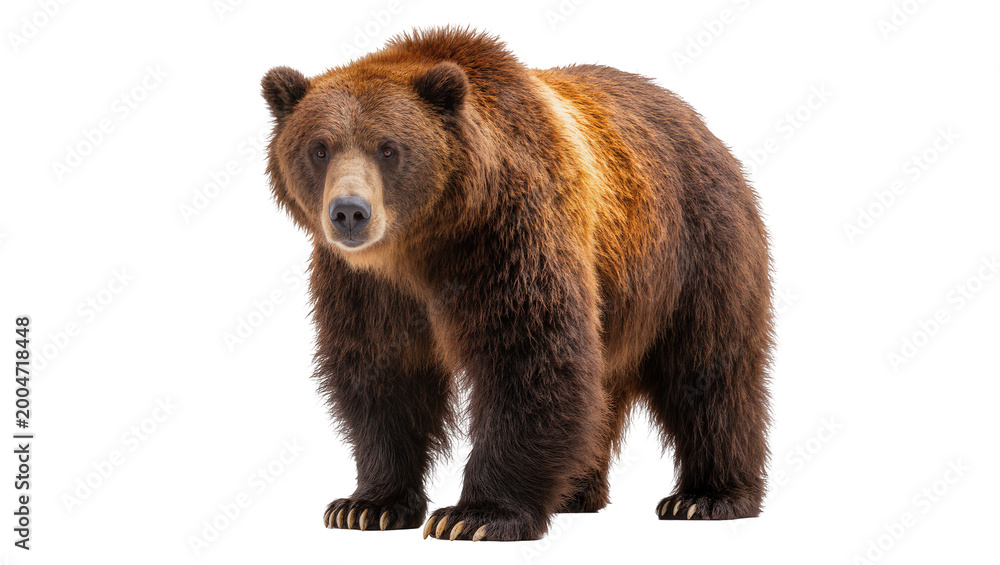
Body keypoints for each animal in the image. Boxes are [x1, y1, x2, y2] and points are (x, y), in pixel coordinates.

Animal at [261, 27, 773, 541]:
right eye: (319, 148)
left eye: (388, 148)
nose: (349, 212)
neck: (423, 243)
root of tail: (699, 122)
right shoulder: (364, 285)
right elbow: (381, 376)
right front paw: (366, 506)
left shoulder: (508, 238)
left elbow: (528, 359)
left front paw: (474, 515)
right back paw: (576, 490)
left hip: (694, 248)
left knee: (709, 371)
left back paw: (705, 496)